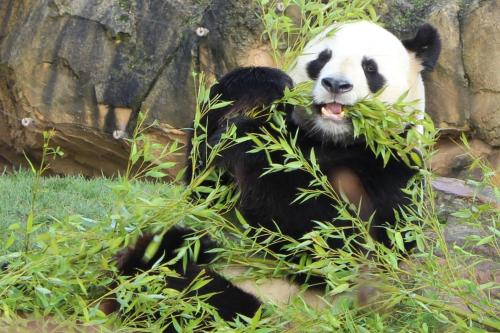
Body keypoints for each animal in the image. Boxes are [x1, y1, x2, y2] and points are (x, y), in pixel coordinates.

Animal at [114, 20, 442, 326]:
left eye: (370, 68)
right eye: (322, 58)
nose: (335, 84)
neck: (330, 140)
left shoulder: (391, 168)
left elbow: (338, 245)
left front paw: (250, 140)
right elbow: (205, 187)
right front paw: (263, 85)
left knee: (204, 299)